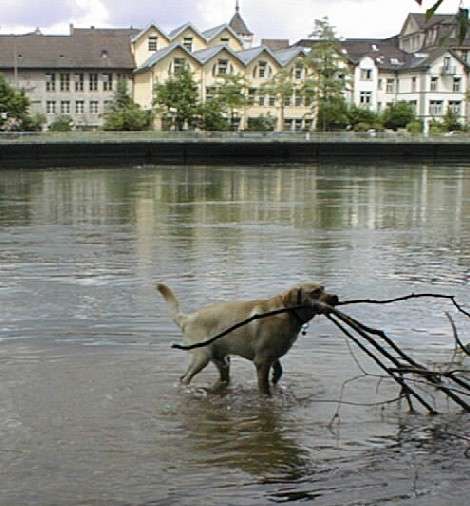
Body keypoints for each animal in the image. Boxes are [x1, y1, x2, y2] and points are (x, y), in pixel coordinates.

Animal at [157, 280, 338, 396]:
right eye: (316, 292)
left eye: (324, 288)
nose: (336, 297)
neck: (287, 313)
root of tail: (186, 318)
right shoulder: (262, 360)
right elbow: (264, 386)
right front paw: (267, 397)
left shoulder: (272, 354)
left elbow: (279, 369)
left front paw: (275, 377)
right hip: (201, 357)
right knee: (184, 378)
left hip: (222, 360)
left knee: (223, 377)